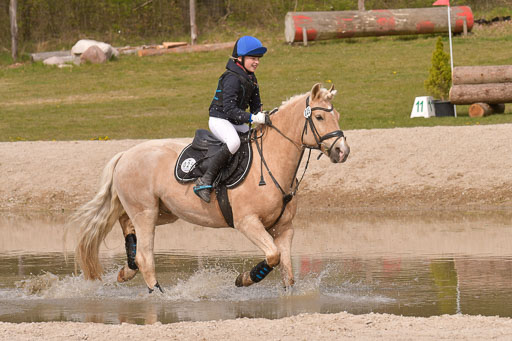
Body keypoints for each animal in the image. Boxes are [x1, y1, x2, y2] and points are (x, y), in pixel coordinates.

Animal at [74, 83, 350, 292]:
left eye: (336, 116)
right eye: (319, 117)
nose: (342, 151)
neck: (272, 160)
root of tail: (125, 154)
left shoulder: (284, 229)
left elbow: (287, 273)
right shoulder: (247, 223)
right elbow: (273, 256)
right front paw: (244, 279)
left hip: (163, 212)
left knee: (125, 223)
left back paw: (126, 271)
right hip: (147, 212)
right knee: (145, 256)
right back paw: (159, 294)